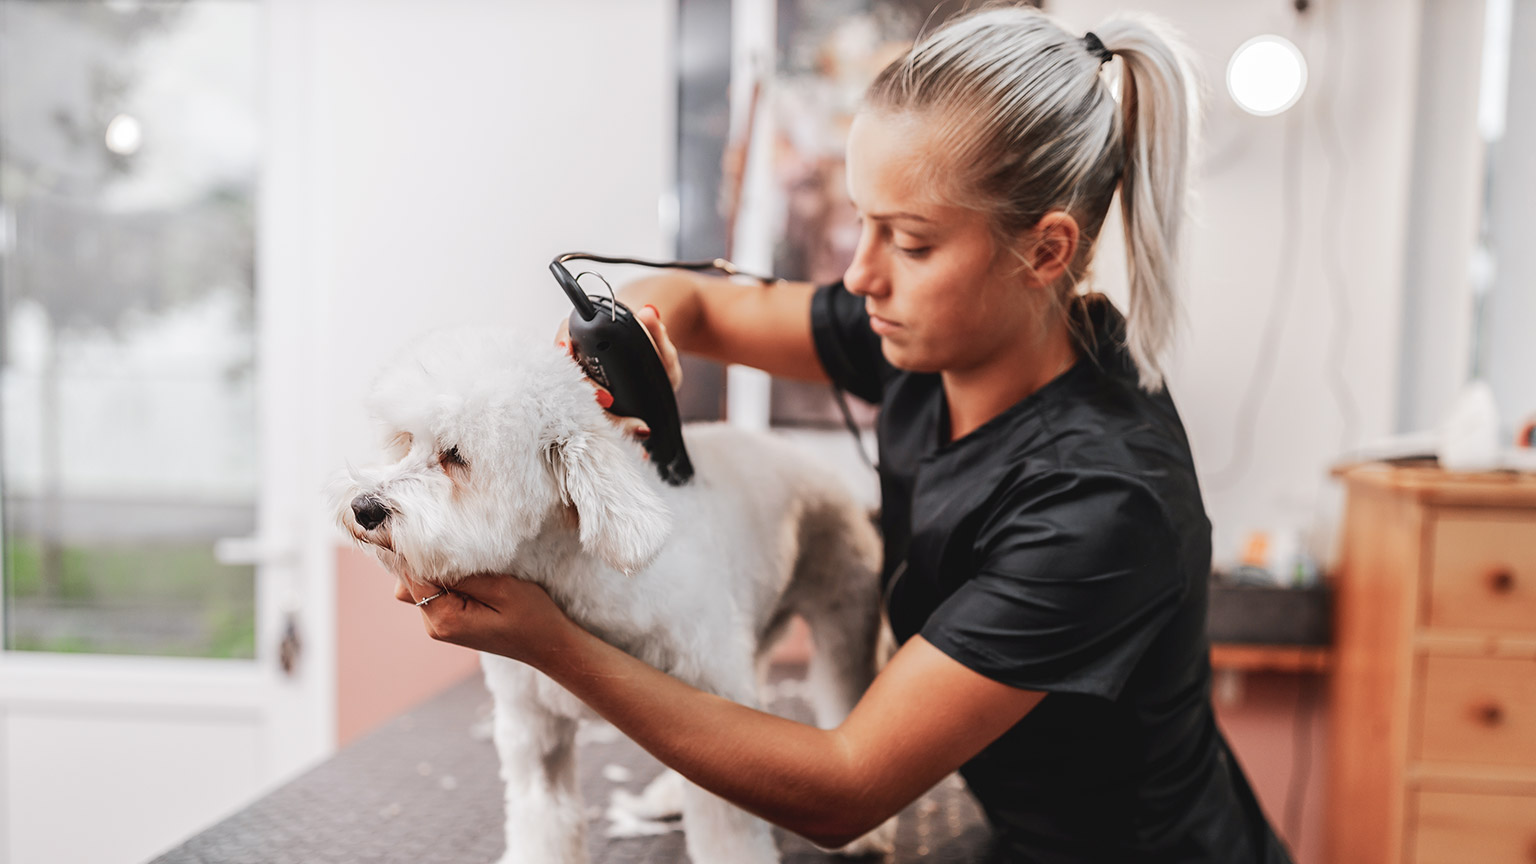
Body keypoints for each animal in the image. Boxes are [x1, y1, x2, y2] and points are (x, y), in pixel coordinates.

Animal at [331, 327, 897, 860]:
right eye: (405, 440)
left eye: (455, 457)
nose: (364, 508)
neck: (568, 576)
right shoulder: (533, 729)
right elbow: (542, 817)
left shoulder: (710, 683)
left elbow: (729, 827)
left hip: (843, 618)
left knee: (845, 691)